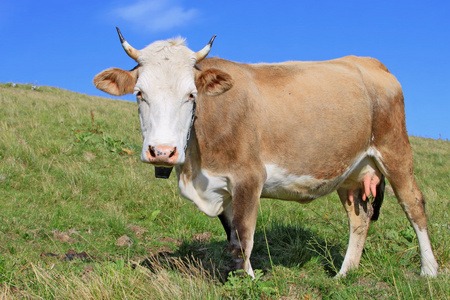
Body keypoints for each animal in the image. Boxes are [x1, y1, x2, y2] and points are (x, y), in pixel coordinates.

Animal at [92, 28, 440, 276]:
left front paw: (247, 281)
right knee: (359, 218)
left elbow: (244, 236)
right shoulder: (222, 186)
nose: (162, 152)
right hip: (351, 170)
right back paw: (345, 275)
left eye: (191, 95)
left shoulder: (249, 177)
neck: (194, 167)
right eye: (139, 93)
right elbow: (232, 237)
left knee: (414, 205)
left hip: (394, 148)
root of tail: (367, 61)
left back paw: (430, 271)